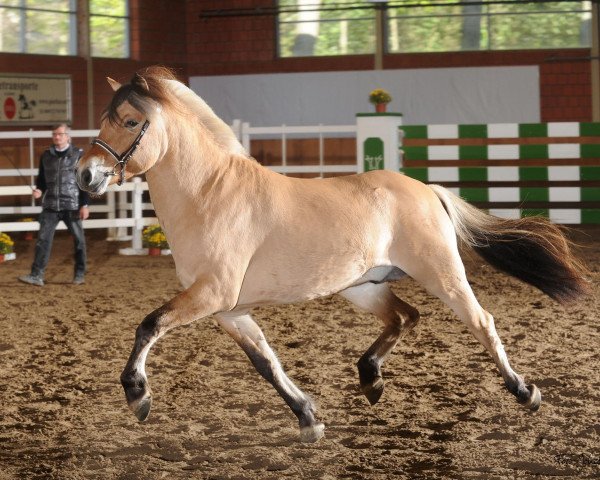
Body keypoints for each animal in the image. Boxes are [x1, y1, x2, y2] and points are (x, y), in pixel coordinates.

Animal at [75, 65, 584, 444]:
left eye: (130, 121)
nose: (85, 175)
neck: (209, 194)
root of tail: (426, 189)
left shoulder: (211, 295)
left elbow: (149, 325)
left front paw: (138, 395)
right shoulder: (228, 310)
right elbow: (266, 362)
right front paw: (308, 418)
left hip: (442, 274)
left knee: (481, 322)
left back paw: (524, 392)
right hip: (363, 286)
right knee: (404, 316)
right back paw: (370, 379)